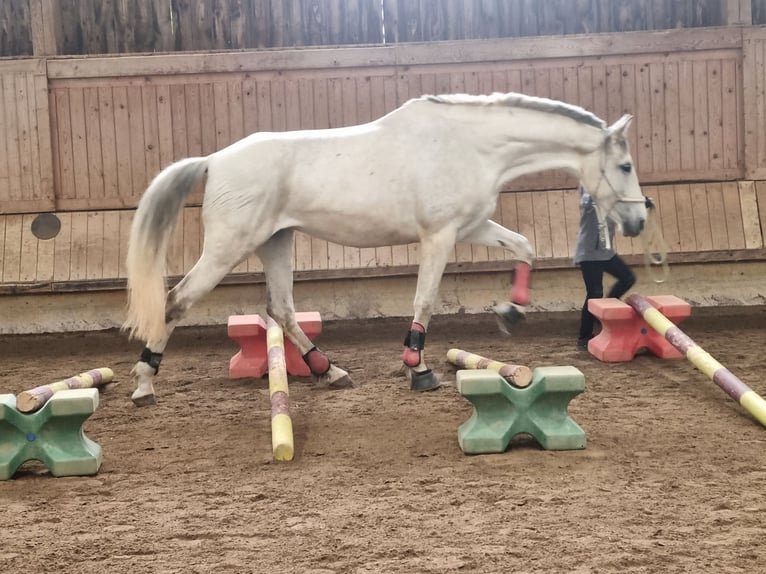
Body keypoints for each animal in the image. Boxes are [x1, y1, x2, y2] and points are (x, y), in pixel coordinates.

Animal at [124, 91, 647, 405]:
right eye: (624, 166)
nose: (638, 221)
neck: (471, 146)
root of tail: (214, 160)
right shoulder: (440, 235)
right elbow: (425, 300)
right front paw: (419, 369)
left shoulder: (472, 226)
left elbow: (525, 248)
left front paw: (510, 312)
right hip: (229, 246)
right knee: (176, 302)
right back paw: (144, 382)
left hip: (276, 241)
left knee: (281, 309)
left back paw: (328, 370)